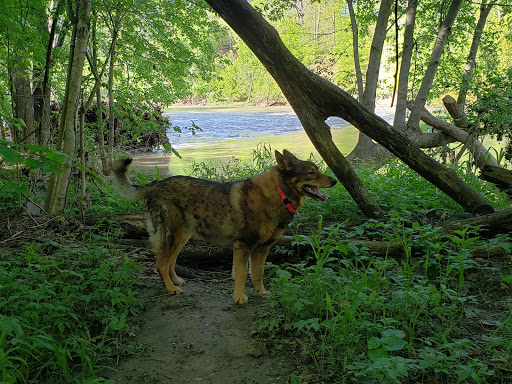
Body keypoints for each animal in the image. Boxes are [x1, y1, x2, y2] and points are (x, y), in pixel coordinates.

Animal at [112, 150, 336, 304]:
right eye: (311, 172)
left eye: (316, 169)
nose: (334, 179)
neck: (278, 194)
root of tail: (155, 184)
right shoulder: (243, 246)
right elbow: (241, 276)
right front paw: (239, 298)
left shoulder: (262, 250)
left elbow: (257, 275)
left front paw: (261, 293)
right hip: (172, 236)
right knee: (160, 264)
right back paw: (170, 289)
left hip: (181, 238)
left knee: (169, 263)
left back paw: (175, 281)